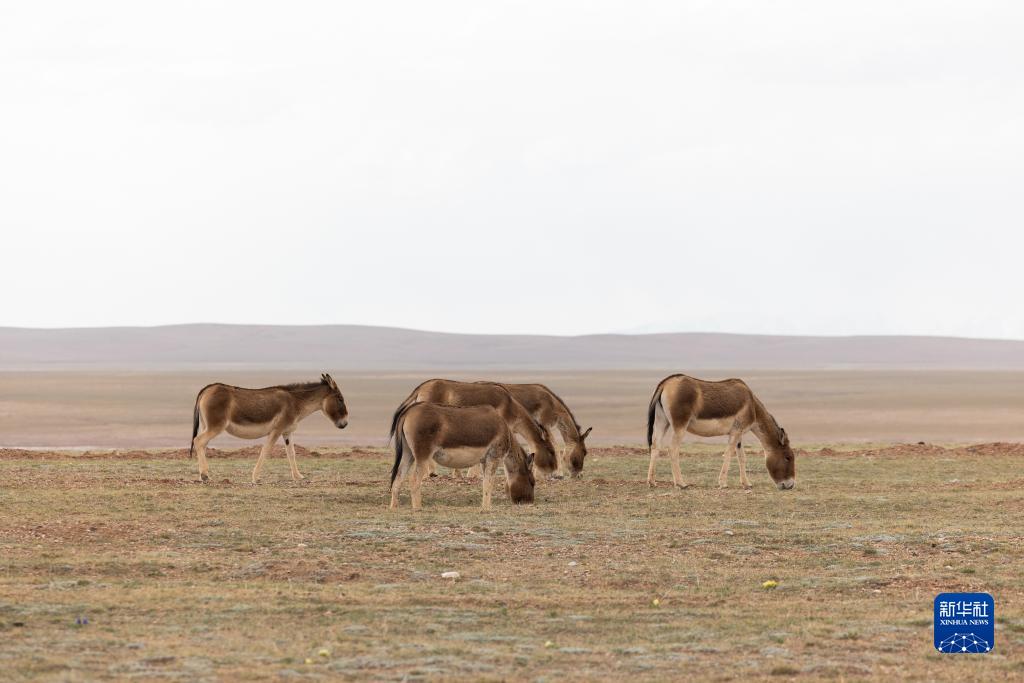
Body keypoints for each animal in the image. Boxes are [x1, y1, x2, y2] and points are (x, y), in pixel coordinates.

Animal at [190, 373, 348, 484]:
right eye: (340, 398)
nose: (345, 423)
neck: (295, 402)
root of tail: (207, 388)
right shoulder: (276, 431)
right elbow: (265, 451)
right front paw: (256, 478)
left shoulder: (287, 432)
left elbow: (291, 453)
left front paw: (298, 476)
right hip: (216, 426)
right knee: (198, 441)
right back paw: (205, 476)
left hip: (207, 426)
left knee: (202, 444)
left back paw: (204, 475)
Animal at [389, 379, 557, 474]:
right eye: (551, 451)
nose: (554, 471)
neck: (510, 406)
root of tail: (421, 387)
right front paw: (473, 474)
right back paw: (431, 472)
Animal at [389, 402, 535, 510]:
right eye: (532, 481)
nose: (530, 503)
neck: (504, 429)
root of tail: (409, 410)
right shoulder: (494, 458)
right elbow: (489, 483)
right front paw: (487, 508)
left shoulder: (484, 461)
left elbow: (485, 483)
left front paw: (484, 506)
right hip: (422, 456)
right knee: (414, 480)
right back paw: (418, 508)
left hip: (408, 454)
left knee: (398, 477)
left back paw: (394, 507)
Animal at [646, 374, 795, 490]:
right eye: (788, 457)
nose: (790, 485)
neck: (751, 404)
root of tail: (666, 383)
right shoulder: (736, 432)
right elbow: (728, 454)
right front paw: (723, 483)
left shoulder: (738, 433)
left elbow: (742, 457)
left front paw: (746, 483)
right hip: (679, 425)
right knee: (672, 449)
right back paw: (681, 483)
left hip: (661, 421)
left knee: (655, 446)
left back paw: (651, 482)